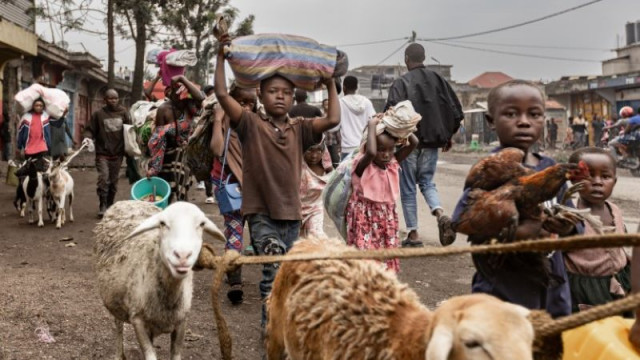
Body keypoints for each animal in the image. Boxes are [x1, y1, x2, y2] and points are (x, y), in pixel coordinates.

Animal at [94, 201, 226, 360]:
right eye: (162, 223)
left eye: (201, 224)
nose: (182, 255)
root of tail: (127, 202)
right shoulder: (137, 320)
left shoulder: (182, 321)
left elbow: (175, 353)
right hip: (115, 301)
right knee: (118, 326)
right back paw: (119, 355)